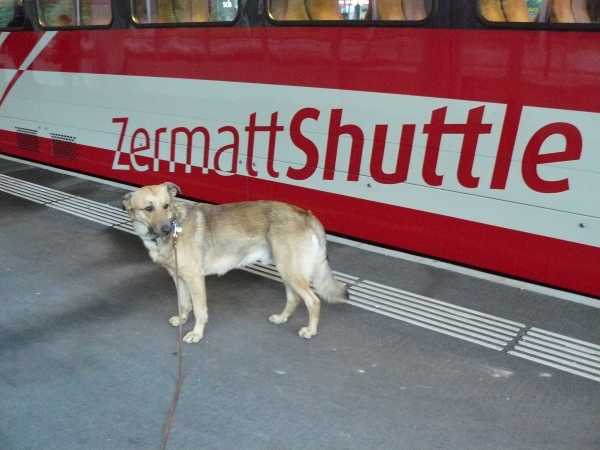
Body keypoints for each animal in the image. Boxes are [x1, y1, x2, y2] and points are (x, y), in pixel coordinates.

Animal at [122, 182, 348, 343]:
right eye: (148, 208)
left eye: (166, 206)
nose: (168, 229)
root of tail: (306, 214)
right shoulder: (178, 278)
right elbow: (184, 304)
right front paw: (182, 320)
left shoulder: (195, 279)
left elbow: (200, 310)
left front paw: (197, 333)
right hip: (287, 271)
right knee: (294, 298)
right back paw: (281, 318)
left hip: (291, 272)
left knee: (313, 301)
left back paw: (311, 331)